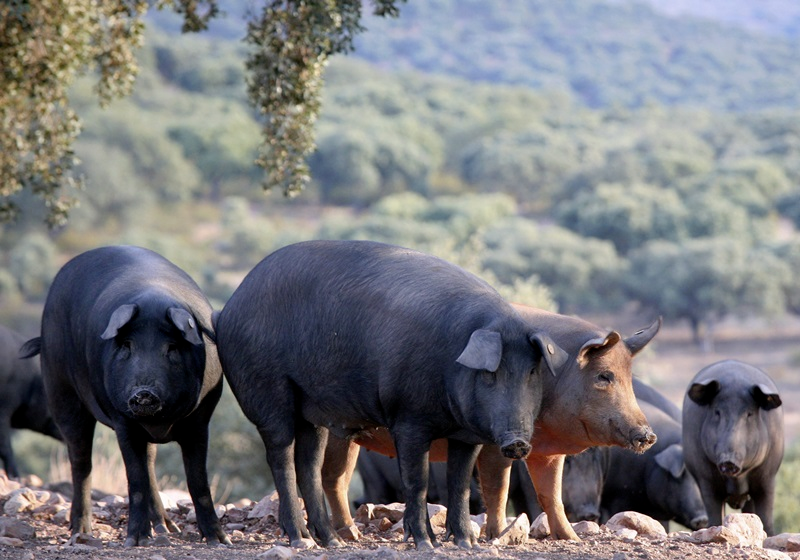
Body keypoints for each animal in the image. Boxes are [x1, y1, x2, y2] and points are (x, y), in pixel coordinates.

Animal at [18, 246, 230, 548]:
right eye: (128, 345)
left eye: (172, 347)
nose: (143, 394)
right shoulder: (123, 422)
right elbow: (135, 480)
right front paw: (135, 541)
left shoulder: (200, 419)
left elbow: (198, 480)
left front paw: (219, 541)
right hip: (60, 389)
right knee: (80, 460)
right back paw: (81, 532)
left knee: (149, 462)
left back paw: (166, 529)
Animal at [212, 241, 564, 552]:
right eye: (492, 373)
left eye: (532, 371)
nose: (517, 443)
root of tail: (229, 307)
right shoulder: (408, 419)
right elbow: (417, 481)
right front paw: (425, 544)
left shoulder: (466, 434)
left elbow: (460, 484)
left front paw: (467, 543)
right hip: (267, 391)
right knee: (280, 456)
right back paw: (300, 540)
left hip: (311, 411)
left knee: (308, 464)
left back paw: (332, 542)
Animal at [322, 306, 660, 544]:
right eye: (604, 376)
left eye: (630, 378)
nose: (648, 435)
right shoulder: (496, 443)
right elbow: (499, 486)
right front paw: (497, 535)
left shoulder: (548, 452)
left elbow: (551, 494)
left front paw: (572, 539)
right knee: (331, 478)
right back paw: (348, 535)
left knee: (337, 479)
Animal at [680, 360, 780, 536]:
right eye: (717, 412)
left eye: (749, 413)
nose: (729, 460)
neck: (737, 480)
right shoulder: (705, 479)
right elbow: (714, 515)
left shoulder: (768, 476)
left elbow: (766, 517)